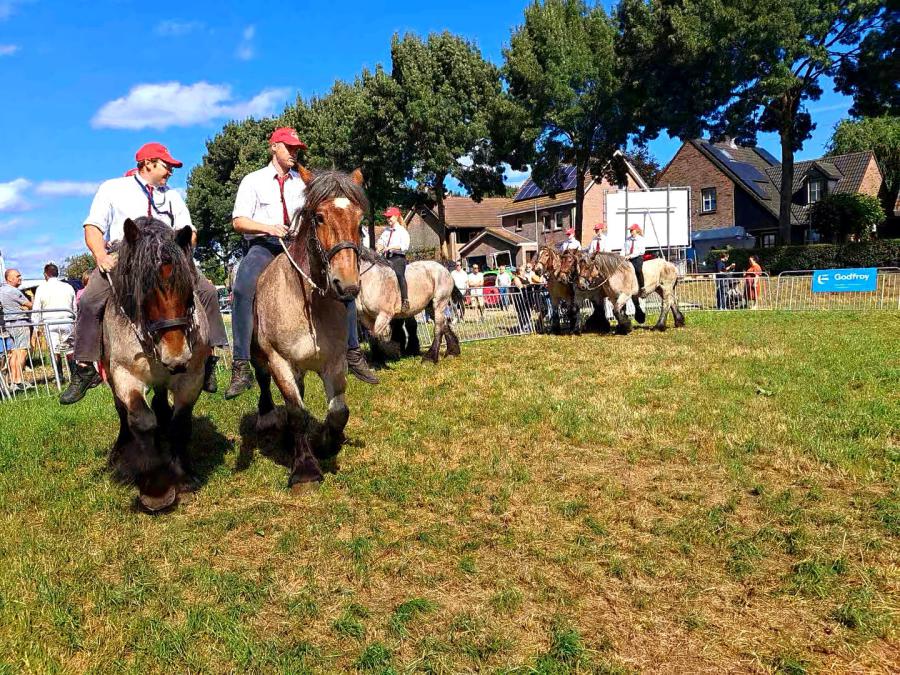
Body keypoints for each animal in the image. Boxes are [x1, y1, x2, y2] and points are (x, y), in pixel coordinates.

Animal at [103, 217, 211, 512]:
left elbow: (179, 422)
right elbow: (141, 420)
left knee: (161, 403)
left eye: (188, 291)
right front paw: (156, 488)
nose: (177, 356)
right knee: (124, 413)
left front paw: (183, 476)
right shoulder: (125, 375)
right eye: (144, 292)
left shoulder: (192, 377)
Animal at [248, 167, 364, 488]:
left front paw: (326, 444)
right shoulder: (280, 361)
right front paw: (305, 470)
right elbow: (297, 412)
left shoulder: (334, 361)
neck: (307, 303)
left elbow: (338, 412)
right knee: (263, 381)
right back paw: (267, 418)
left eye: (360, 219)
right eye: (319, 217)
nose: (347, 285)